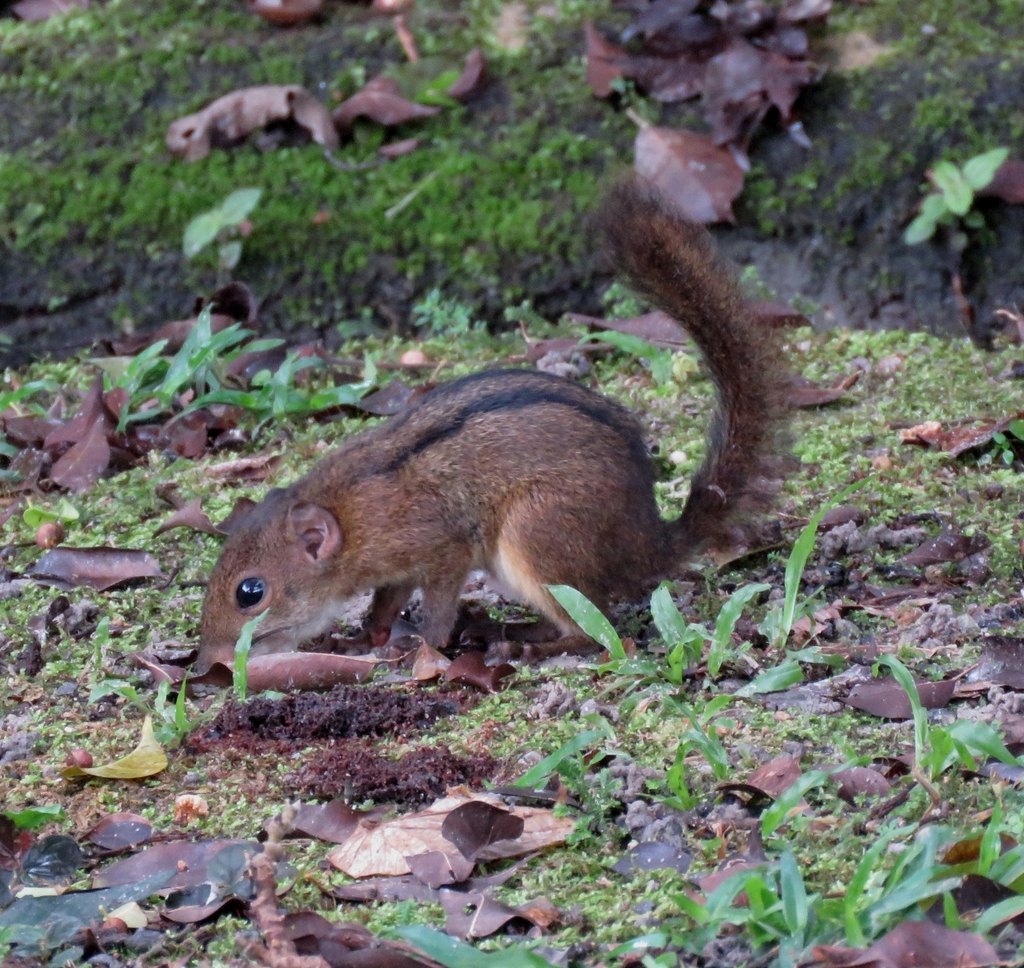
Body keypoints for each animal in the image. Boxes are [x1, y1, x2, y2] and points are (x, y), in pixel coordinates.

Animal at [194, 178, 791, 673]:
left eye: (250, 592)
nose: (207, 664)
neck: (349, 508)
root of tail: (647, 543)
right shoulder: (396, 569)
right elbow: (385, 604)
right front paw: (365, 638)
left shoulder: (441, 548)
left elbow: (436, 606)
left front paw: (419, 647)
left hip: (535, 539)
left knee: (595, 632)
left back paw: (520, 645)